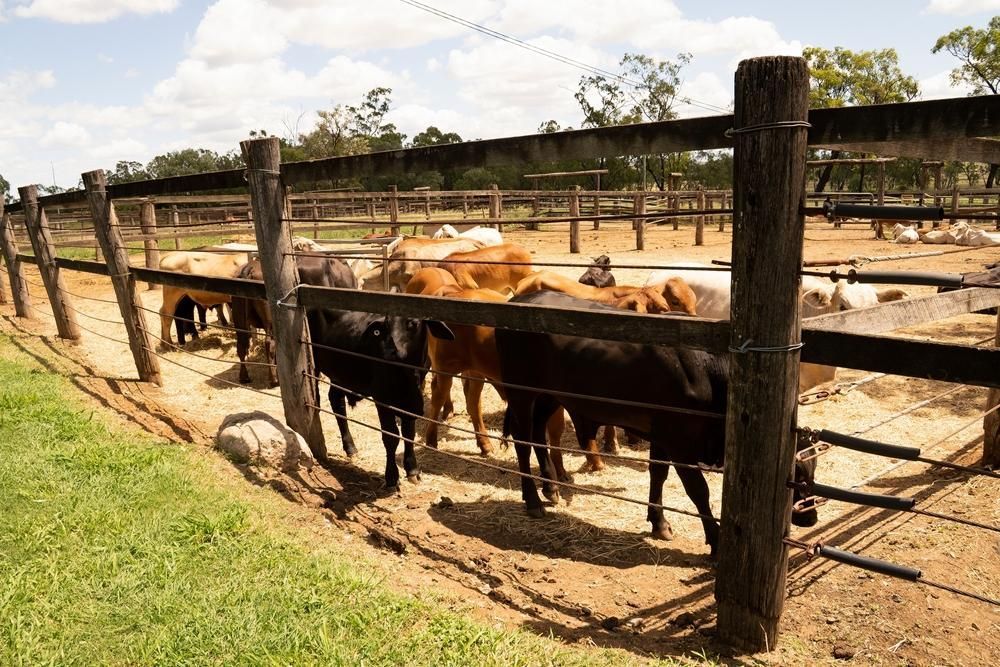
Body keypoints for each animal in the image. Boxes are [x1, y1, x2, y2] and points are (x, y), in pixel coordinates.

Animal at [231, 255, 356, 386]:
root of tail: (249, 267)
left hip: (238, 315)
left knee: (242, 344)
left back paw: (244, 377)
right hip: (270, 321)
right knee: (270, 343)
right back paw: (274, 379)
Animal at [496, 290, 818, 556]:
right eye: (797, 473)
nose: (811, 517)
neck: (709, 372)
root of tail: (520, 300)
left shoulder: (662, 436)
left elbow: (658, 475)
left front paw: (659, 522)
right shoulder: (679, 443)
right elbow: (698, 490)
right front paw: (715, 540)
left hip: (549, 396)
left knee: (538, 435)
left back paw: (550, 488)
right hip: (522, 393)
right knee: (522, 442)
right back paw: (533, 500)